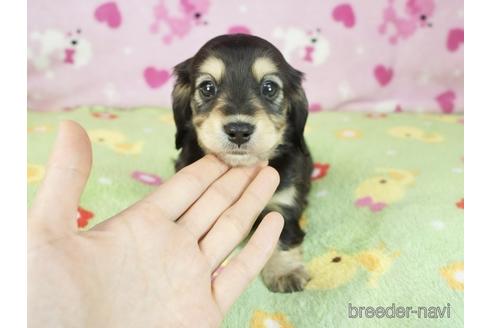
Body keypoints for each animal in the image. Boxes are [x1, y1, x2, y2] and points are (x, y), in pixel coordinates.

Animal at [171, 34, 314, 294]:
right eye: (208, 88)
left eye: (269, 88)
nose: (238, 131)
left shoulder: (283, 204)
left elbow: (283, 235)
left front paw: (285, 272)